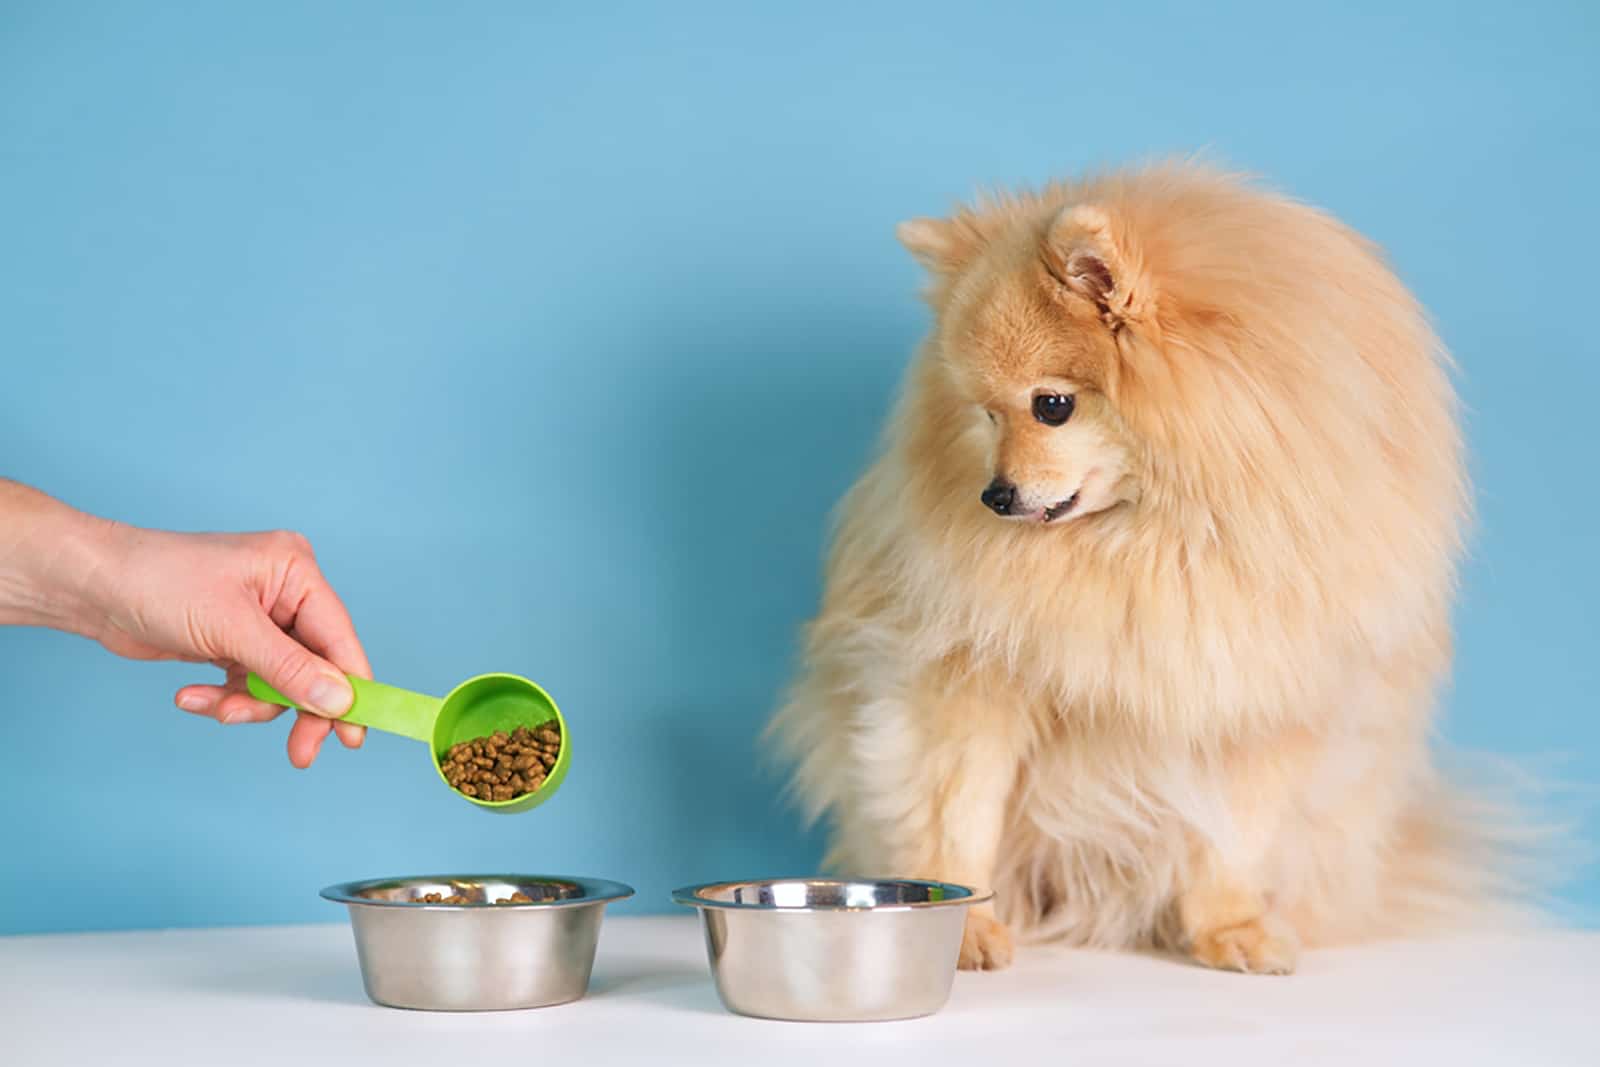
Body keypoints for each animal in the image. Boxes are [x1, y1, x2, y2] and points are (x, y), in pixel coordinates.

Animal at [774, 163, 1523, 972]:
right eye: (986, 415)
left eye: (1052, 406)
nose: (994, 495)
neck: (1161, 537)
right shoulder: (966, 679)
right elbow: (957, 818)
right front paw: (965, 930)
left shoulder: (1256, 697)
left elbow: (1236, 838)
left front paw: (1231, 927)